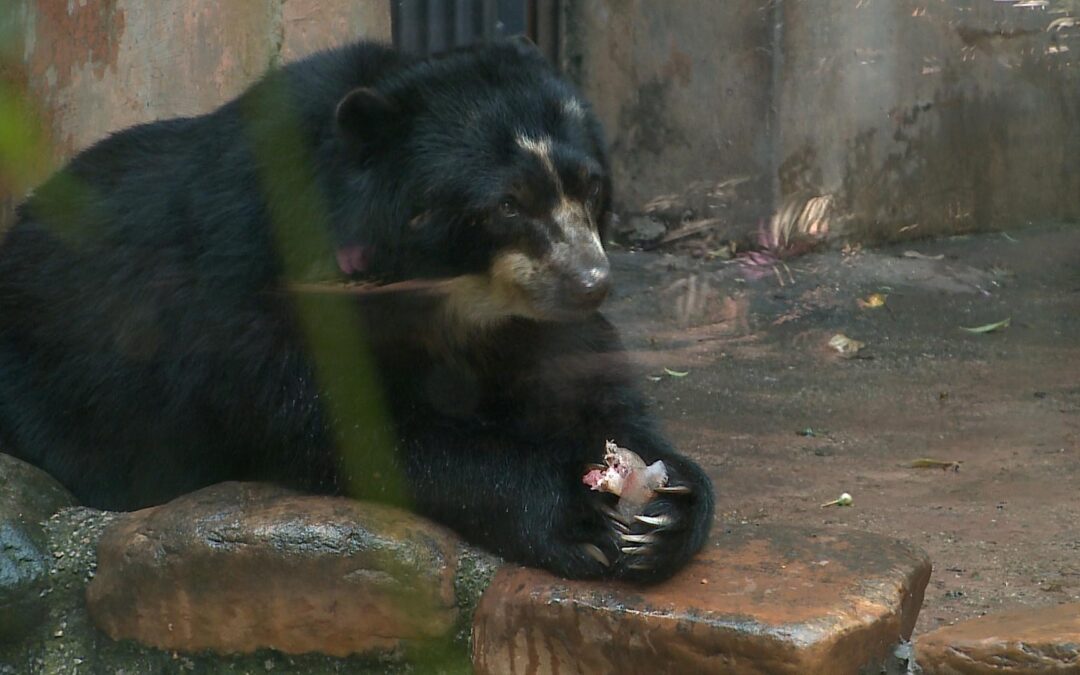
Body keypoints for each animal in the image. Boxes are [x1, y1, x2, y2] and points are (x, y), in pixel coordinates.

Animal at [2, 39, 717, 583]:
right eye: (506, 205)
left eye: (591, 187)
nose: (591, 284)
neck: (457, 296)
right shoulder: (265, 284)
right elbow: (347, 422)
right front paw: (578, 514)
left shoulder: (528, 317)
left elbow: (578, 380)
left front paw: (663, 510)